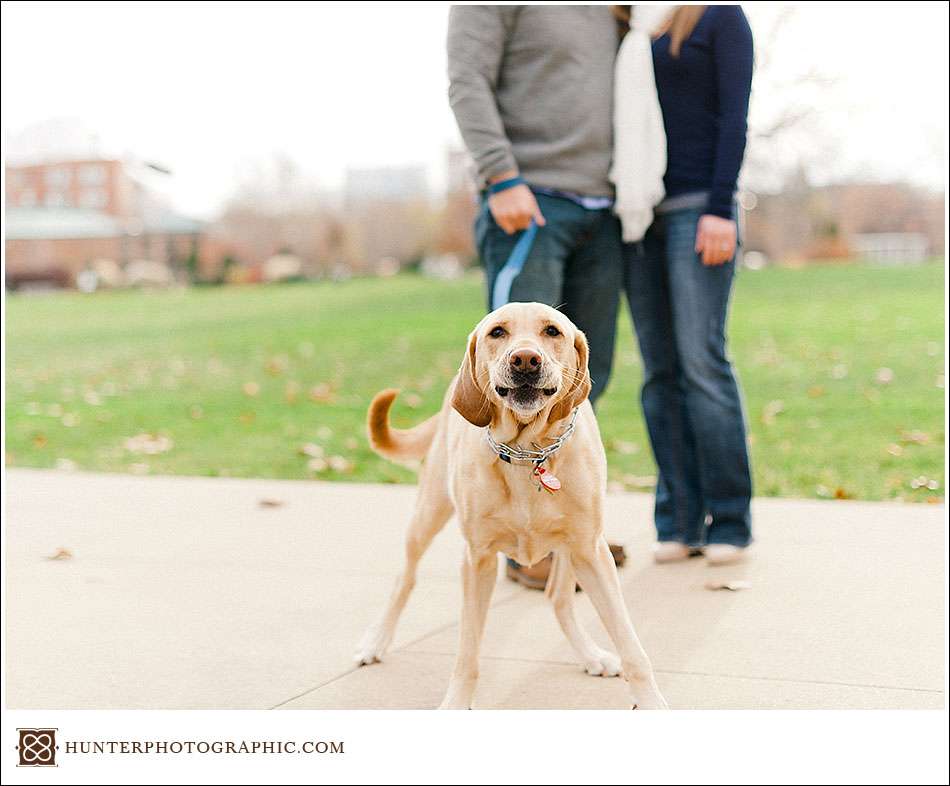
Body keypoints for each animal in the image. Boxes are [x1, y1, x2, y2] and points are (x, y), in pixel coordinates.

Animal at [356, 302, 668, 712]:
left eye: (552, 331)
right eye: (497, 332)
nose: (525, 359)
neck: (526, 452)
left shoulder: (592, 552)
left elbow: (632, 647)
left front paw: (651, 703)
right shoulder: (478, 559)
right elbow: (468, 653)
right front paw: (456, 703)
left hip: (573, 549)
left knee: (558, 599)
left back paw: (589, 654)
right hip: (427, 515)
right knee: (403, 579)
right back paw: (376, 640)